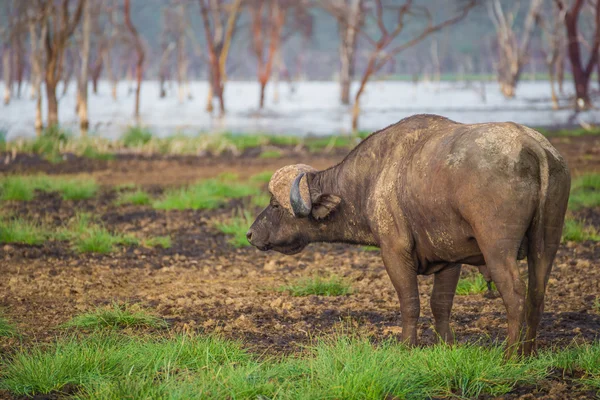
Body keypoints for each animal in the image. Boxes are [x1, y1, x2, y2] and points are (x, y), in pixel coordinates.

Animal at [246, 114, 568, 358]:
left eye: (275, 205)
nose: (250, 234)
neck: (371, 179)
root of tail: (532, 145)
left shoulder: (394, 251)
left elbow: (409, 301)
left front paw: (406, 346)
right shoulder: (451, 258)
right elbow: (440, 304)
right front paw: (445, 345)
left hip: (497, 249)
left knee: (515, 294)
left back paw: (510, 355)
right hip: (546, 244)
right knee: (537, 293)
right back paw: (529, 353)